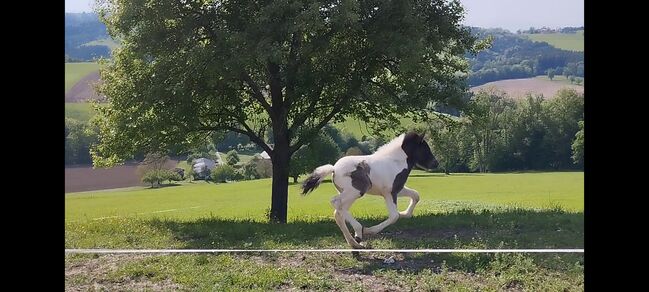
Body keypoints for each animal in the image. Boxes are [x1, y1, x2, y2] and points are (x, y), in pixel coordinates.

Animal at [302, 132, 438, 249]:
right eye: (425, 148)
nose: (436, 163)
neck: (395, 162)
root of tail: (334, 169)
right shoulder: (390, 193)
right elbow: (394, 216)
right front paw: (370, 230)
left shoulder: (398, 190)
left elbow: (415, 195)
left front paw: (405, 213)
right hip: (356, 191)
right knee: (335, 202)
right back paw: (359, 230)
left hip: (348, 194)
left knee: (339, 212)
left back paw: (355, 242)